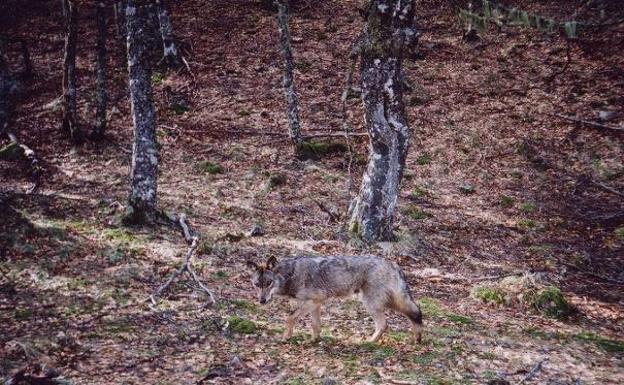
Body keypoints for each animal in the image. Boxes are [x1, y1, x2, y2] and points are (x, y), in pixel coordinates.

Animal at [246, 255, 422, 342]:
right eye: (257, 284)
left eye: (268, 283)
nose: (262, 301)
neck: (290, 275)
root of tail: (394, 264)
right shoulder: (315, 304)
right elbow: (315, 325)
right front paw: (313, 340)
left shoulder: (312, 302)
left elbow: (289, 318)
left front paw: (285, 337)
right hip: (384, 302)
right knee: (414, 313)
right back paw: (416, 338)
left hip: (371, 303)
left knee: (388, 323)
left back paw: (369, 341)